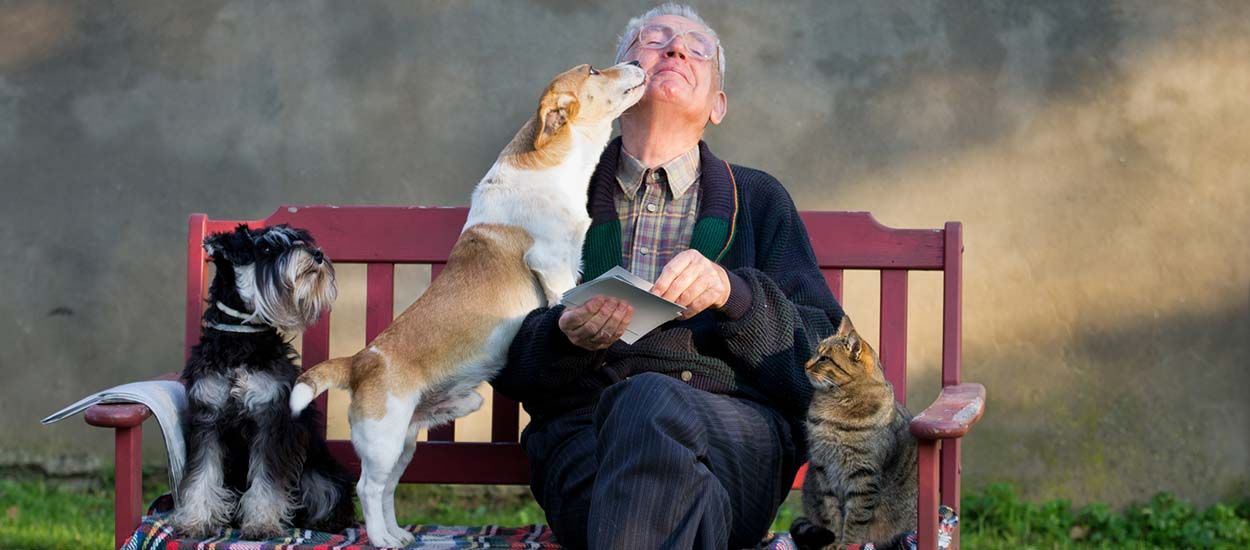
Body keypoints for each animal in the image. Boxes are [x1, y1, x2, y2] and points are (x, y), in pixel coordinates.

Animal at [168, 223, 355, 537]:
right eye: (266, 248)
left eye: (299, 239)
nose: (317, 255)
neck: (239, 339)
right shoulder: (207, 419)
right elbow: (202, 475)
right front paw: (195, 521)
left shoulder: (271, 420)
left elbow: (267, 481)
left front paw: (262, 524)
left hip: (320, 473)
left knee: (330, 493)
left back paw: (325, 521)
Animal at [290, 62, 645, 547]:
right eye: (593, 70)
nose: (639, 63)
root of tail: (358, 361)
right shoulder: (553, 267)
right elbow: (560, 303)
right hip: (383, 441)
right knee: (367, 488)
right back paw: (381, 539)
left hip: (405, 443)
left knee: (388, 489)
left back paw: (399, 534)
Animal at [790, 316, 920, 550]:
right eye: (815, 353)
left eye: (824, 358)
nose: (805, 364)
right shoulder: (824, 471)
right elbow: (831, 514)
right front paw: (833, 542)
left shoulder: (863, 475)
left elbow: (855, 519)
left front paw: (847, 544)